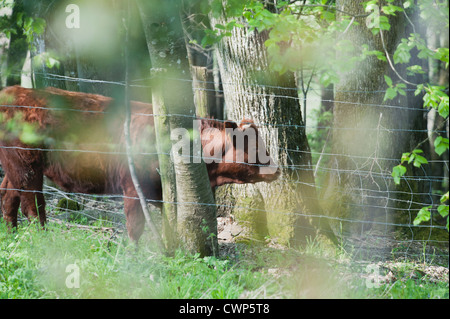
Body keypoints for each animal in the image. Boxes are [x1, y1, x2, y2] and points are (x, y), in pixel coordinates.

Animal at [0, 86, 280, 241]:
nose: (277, 169)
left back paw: (12, 236)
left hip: (16, 168)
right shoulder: (133, 188)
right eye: (253, 146)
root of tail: (13, 90)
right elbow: (135, 226)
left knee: (8, 197)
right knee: (32, 207)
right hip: (27, 168)